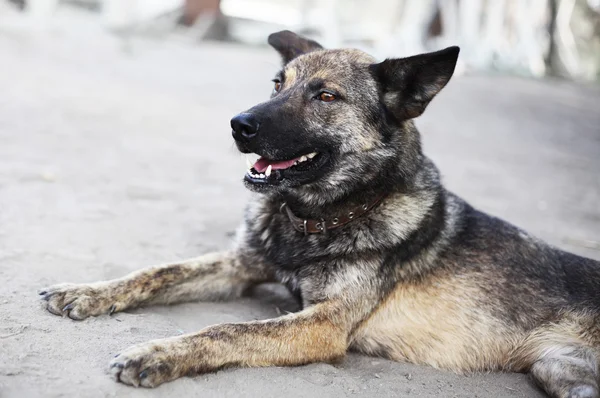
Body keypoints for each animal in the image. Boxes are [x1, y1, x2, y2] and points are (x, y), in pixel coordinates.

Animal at [39, 31, 600, 398]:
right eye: (276, 83)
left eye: (326, 96)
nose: (238, 124)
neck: (317, 219)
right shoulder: (240, 266)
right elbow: (157, 271)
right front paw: (87, 291)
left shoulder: (322, 326)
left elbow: (228, 330)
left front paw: (156, 353)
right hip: (561, 375)